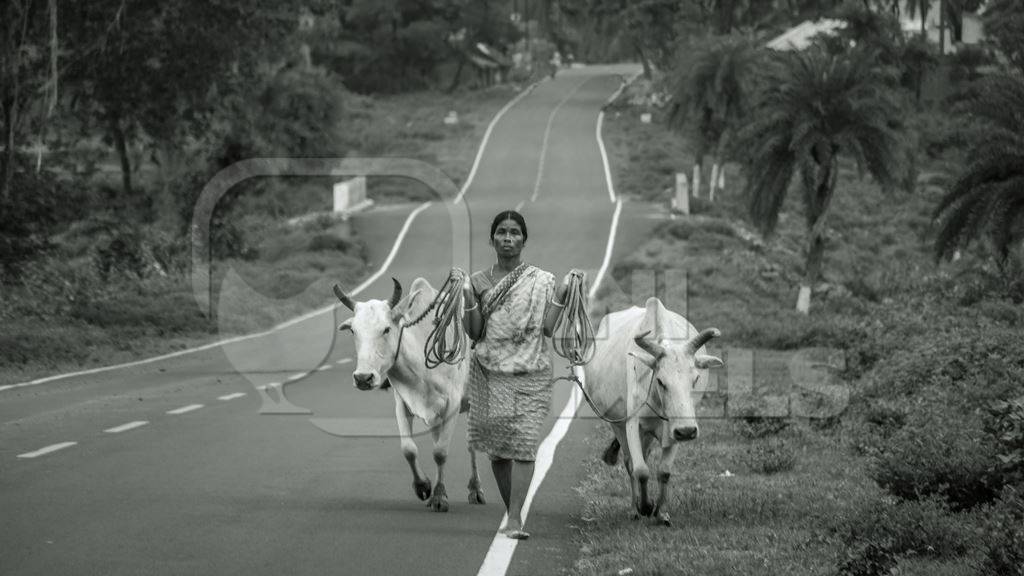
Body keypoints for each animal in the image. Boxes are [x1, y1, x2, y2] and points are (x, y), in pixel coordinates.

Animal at [331, 276, 483, 508]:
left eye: (386, 329)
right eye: (353, 331)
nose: (363, 378)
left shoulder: (453, 405)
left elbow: (441, 452)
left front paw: (439, 496)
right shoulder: (403, 404)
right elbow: (409, 449)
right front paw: (423, 487)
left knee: (471, 445)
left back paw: (476, 489)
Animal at [581, 295, 724, 524]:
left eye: (695, 379)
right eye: (660, 381)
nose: (688, 432)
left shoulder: (675, 427)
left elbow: (664, 471)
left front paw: (661, 511)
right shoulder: (632, 424)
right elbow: (640, 470)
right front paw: (645, 506)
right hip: (619, 426)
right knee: (630, 463)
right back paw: (634, 508)